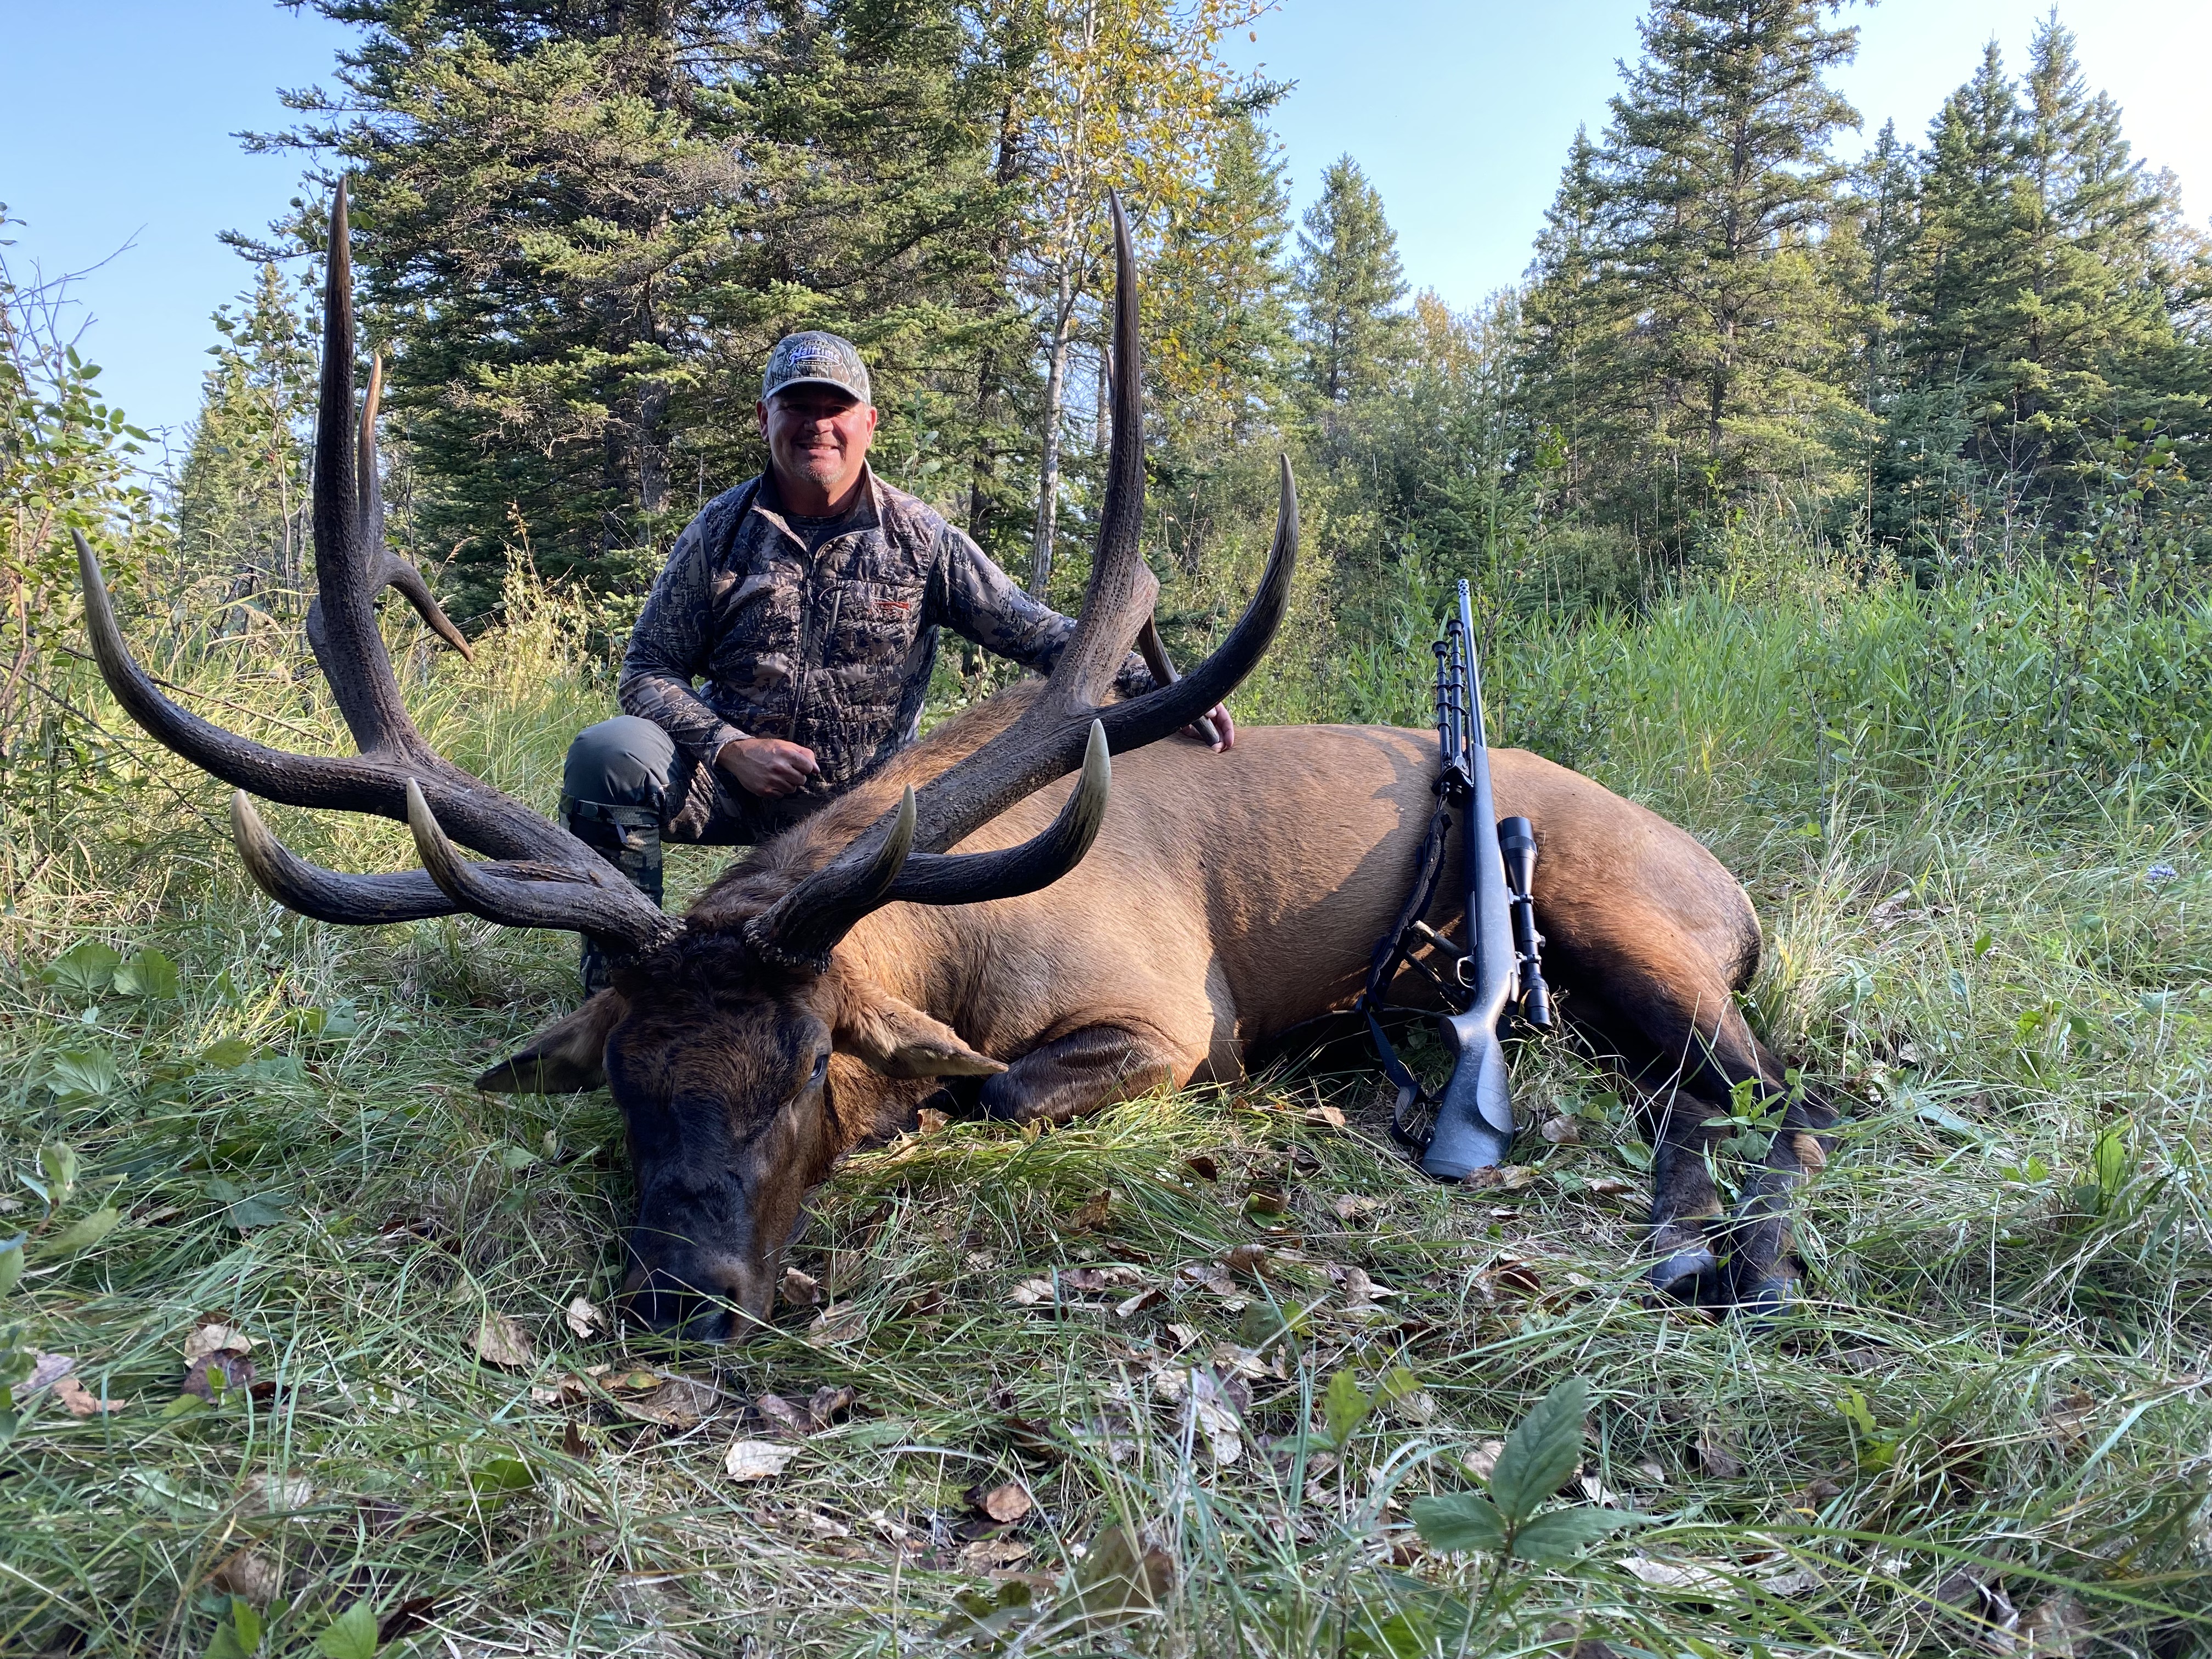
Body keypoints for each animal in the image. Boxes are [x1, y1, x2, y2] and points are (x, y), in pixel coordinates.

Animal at [76, 186, 1836, 1340]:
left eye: (804, 1067)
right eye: (626, 1083)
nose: (687, 1299)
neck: (958, 948)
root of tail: (1740, 888)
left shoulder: (1173, 1019)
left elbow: (990, 1091)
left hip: (1637, 919)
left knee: (1784, 1092)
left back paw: (1732, 1259)